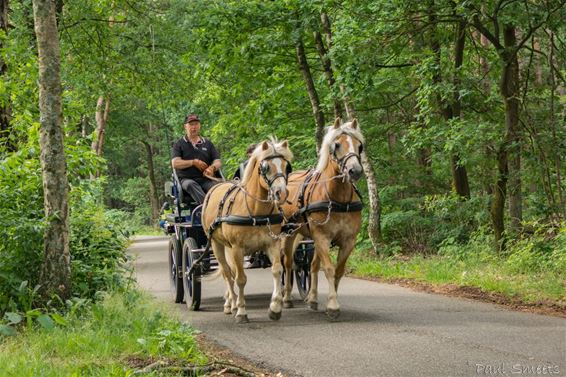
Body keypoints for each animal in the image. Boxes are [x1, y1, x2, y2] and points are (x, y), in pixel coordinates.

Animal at [203, 140, 292, 322]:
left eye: (286, 166)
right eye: (265, 167)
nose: (281, 193)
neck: (256, 211)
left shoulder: (272, 243)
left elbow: (277, 270)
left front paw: (275, 307)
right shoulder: (237, 248)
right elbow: (241, 279)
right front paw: (242, 311)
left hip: (228, 247)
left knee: (230, 272)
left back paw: (231, 302)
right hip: (216, 244)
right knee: (227, 274)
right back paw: (232, 304)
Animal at [282, 117, 366, 318]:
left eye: (360, 146)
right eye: (337, 145)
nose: (355, 170)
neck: (338, 199)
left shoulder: (348, 240)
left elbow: (338, 270)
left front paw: (330, 298)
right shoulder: (322, 237)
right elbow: (328, 269)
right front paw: (333, 305)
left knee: (311, 265)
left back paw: (312, 299)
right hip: (289, 233)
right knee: (288, 264)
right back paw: (287, 298)